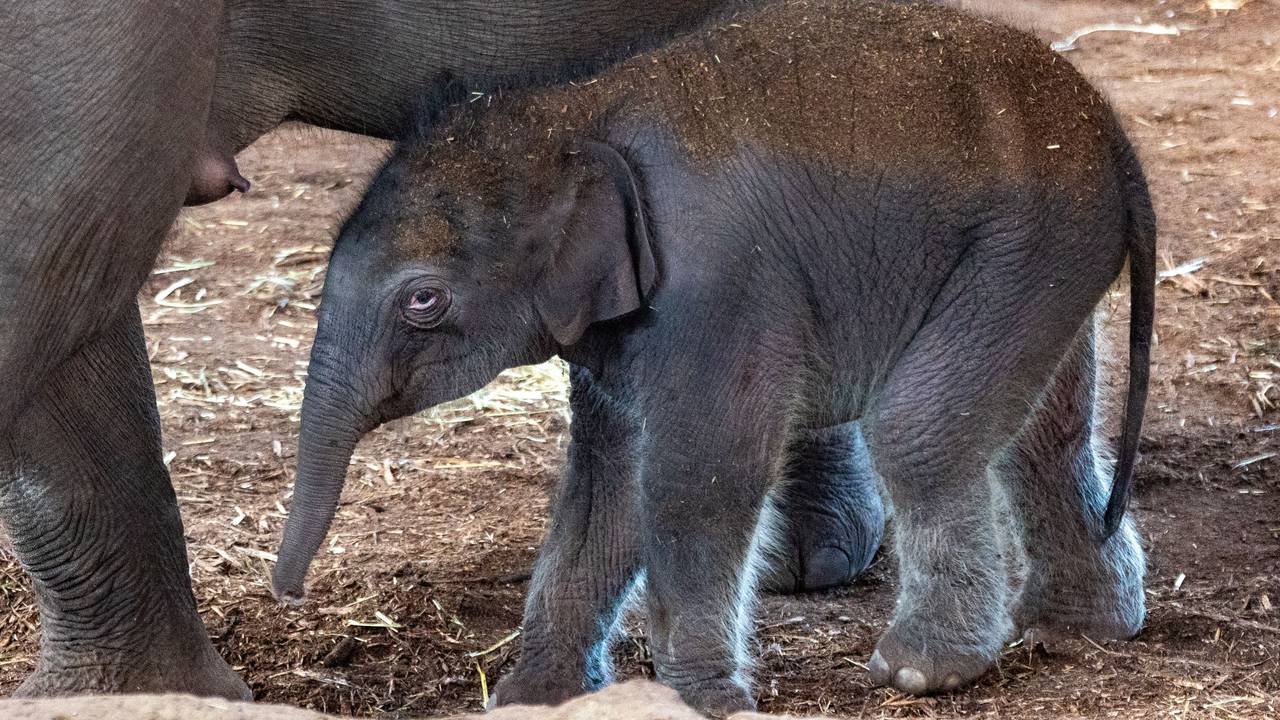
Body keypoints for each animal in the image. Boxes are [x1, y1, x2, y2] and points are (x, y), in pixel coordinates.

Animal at [270, 0, 1155, 713]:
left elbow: (700, 475)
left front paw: (702, 703)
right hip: (1040, 259)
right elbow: (607, 484)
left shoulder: (719, 288)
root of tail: (1111, 129)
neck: (573, 112)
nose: (288, 594)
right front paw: (534, 700)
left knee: (919, 429)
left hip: (1027, 245)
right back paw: (1079, 630)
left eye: (423, 301)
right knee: (1041, 434)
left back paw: (921, 673)